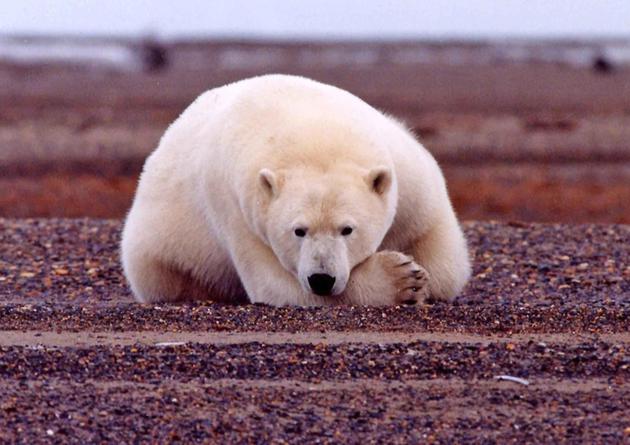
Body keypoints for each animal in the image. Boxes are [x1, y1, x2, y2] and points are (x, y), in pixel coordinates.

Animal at [121, 75, 472, 306]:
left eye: (347, 229)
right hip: (160, 249)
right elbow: (275, 285)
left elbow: (442, 258)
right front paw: (402, 278)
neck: (313, 134)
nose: (322, 279)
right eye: (299, 230)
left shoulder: (408, 174)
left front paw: (420, 274)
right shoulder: (239, 210)